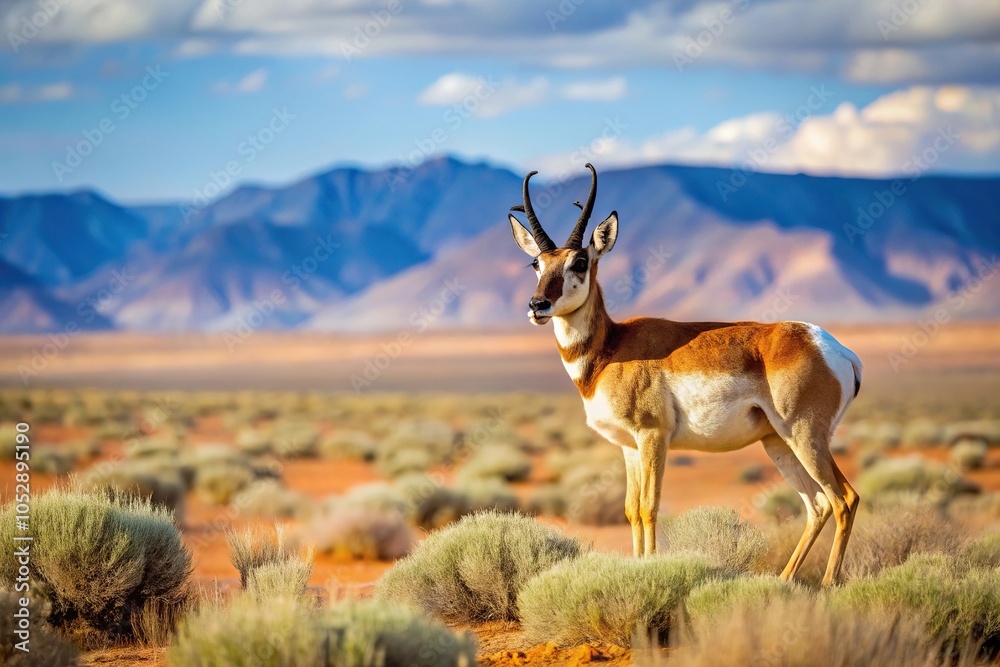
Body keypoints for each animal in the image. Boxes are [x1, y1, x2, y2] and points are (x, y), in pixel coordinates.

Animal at [508, 164, 864, 585]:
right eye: (537, 263)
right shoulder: (629, 447)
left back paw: (827, 584)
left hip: (805, 437)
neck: (612, 348)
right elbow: (631, 510)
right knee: (818, 505)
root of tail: (832, 347)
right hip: (779, 443)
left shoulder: (653, 437)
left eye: (579, 262)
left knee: (844, 499)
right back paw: (783, 581)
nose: (537, 305)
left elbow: (649, 507)